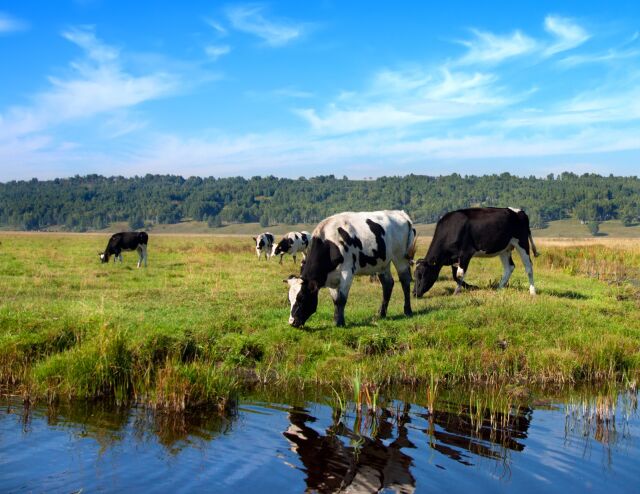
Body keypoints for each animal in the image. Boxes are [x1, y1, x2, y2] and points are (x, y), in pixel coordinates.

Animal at [284, 209, 416, 328]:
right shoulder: (330, 277)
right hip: (383, 262)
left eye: (302, 298)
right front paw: (336, 320)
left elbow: (341, 299)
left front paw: (340, 322)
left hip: (400, 257)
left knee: (405, 281)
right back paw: (381, 314)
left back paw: (408, 311)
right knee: (388, 284)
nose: (292, 322)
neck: (330, 243)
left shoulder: (347, 272)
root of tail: (400, 213)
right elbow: (335, 299)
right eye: (290, 300)